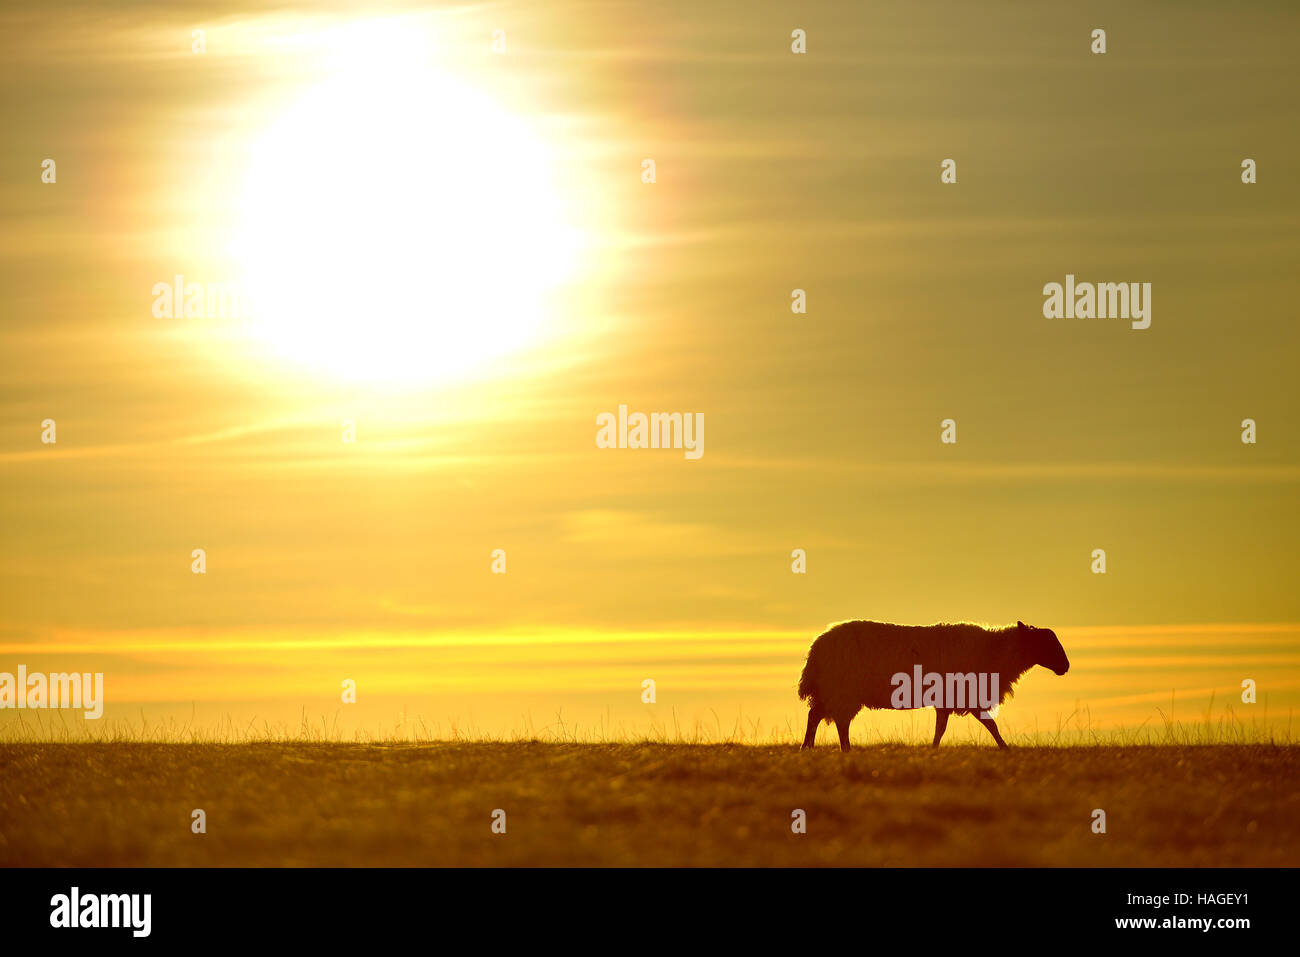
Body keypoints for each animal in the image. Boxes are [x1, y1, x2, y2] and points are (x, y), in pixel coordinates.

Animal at [797, 620, 1069, 751]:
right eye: (1044, 642)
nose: (1065, 667)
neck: (995, 651)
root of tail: (817, 647)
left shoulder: (952, 699)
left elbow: (947, 728)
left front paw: (934, 748)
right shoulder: (964, 694)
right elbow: (989, 725)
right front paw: (1006, 749)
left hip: (833, 690)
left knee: (815, 715)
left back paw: (808, 747)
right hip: (842, 689)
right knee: (838, 722)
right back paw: (843, 749)